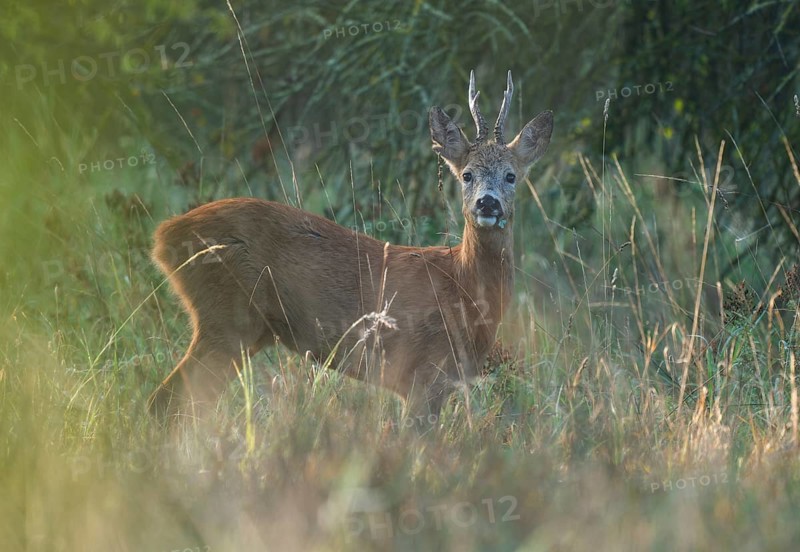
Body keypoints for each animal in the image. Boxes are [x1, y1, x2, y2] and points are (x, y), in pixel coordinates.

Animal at [148, 69, 553, 421]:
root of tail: (163, 235)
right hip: (226, 318)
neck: (462, 285)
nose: (488, 203)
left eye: (511, 176)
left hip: (244, 330)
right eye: (466, 175)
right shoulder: (424, 373)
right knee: (167, 399)